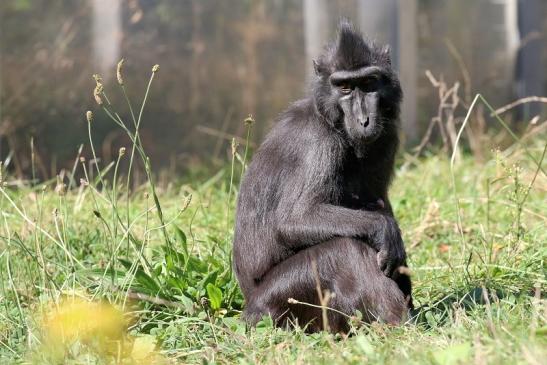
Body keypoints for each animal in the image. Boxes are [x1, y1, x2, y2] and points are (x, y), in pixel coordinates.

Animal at [233, 20, 414, 332]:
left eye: (369, 83)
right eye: (344, 87)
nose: (364, 120)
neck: (333, 120)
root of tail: (249, 307)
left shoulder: (387, 135)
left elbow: (378, 202)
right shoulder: (318, 141)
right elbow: (295, 219)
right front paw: (385, 230)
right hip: (280, 298)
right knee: (345, 248)